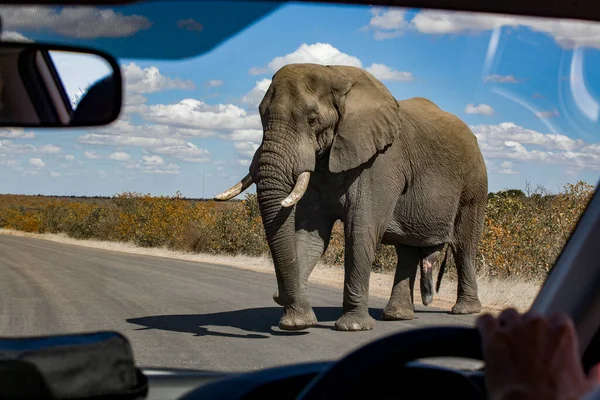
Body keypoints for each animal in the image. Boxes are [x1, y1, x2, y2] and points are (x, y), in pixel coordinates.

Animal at [216, 62, 488, 332]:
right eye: (262, 117)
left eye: (313, 120)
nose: (277, 295)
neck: (335, 74)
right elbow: (310, 235)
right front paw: (296, 323)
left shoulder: (381, 161)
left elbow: (360, 229)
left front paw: (353, 327)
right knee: (407, 250)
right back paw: (397, 316)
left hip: (474, 185)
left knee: (464, 245)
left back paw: (464, 310)